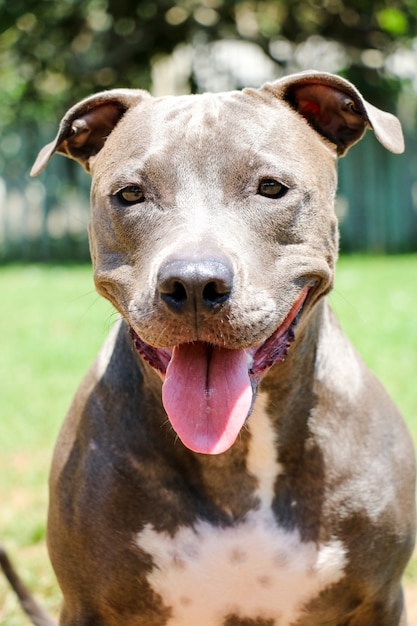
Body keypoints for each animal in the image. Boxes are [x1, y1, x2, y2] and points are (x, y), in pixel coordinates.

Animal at [1, 69, 414, 624]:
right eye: (130, 194)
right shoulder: (86, 604)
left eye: (271, 189)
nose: (194, 284)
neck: (235, 455)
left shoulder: (381, 599)